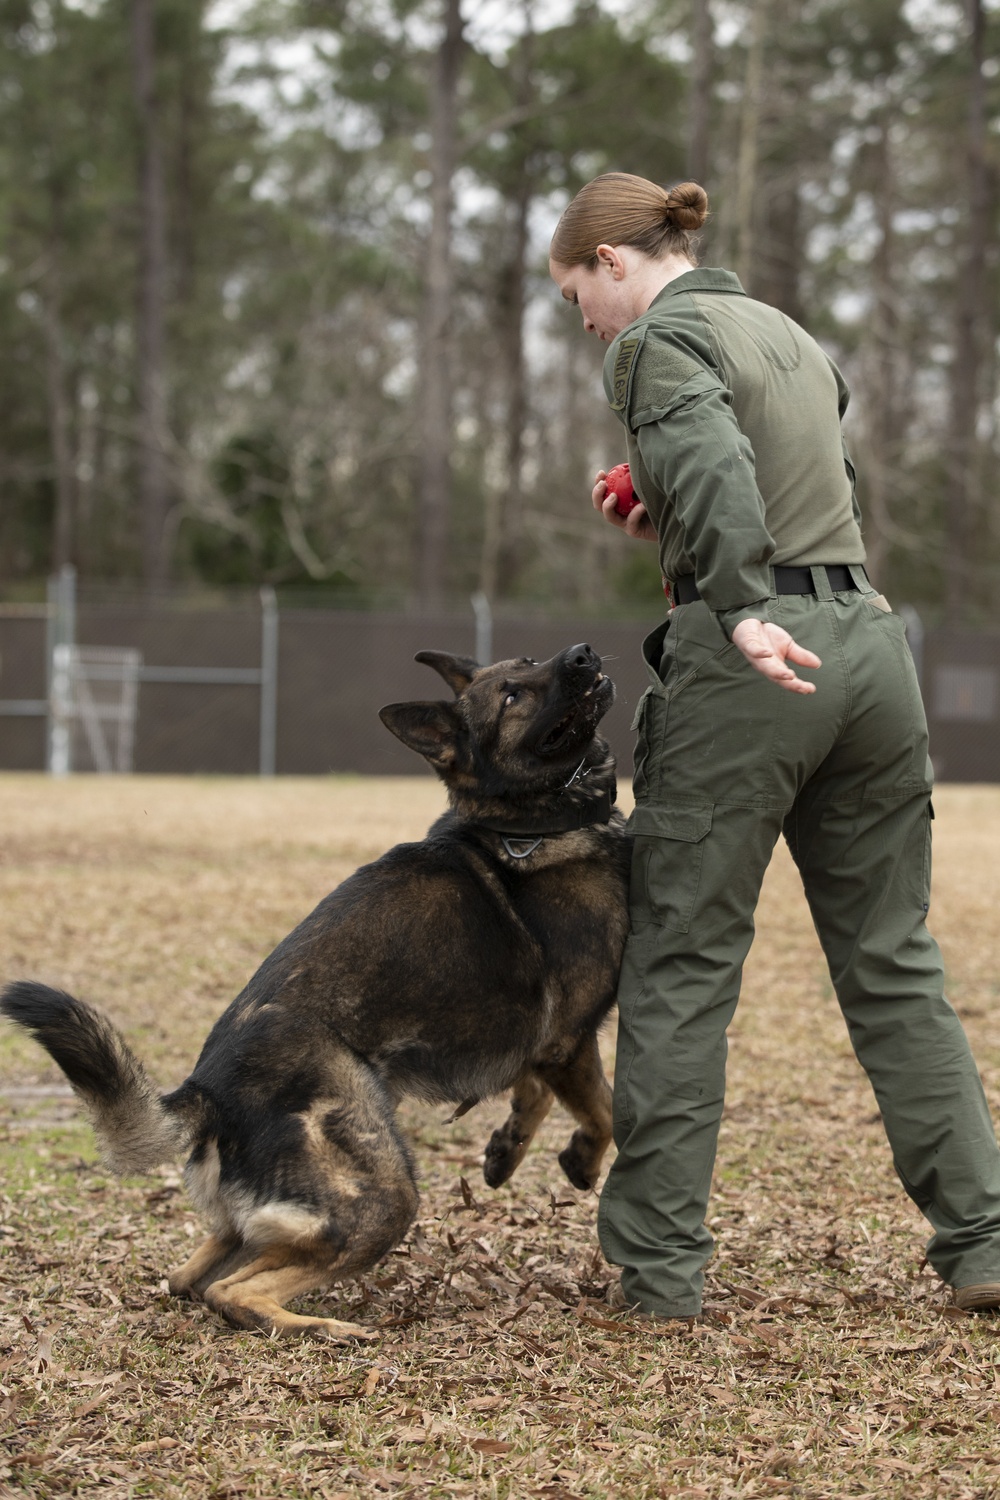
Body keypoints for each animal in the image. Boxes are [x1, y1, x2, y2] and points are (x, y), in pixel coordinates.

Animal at [0, 642, 626, 1338]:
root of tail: (205, 1093)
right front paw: (583, 1159)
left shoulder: (541, 1043)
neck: (524, 826)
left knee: (192, 1277)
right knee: (232, 1292)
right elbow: (604, 1111)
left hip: (265, 1219)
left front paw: (507, 1149)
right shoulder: (568, 1041)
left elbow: (532, 1093)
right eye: (513, 695)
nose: (583, 653)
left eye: (529, 660)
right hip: (379, 1192)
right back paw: (325, 1330)